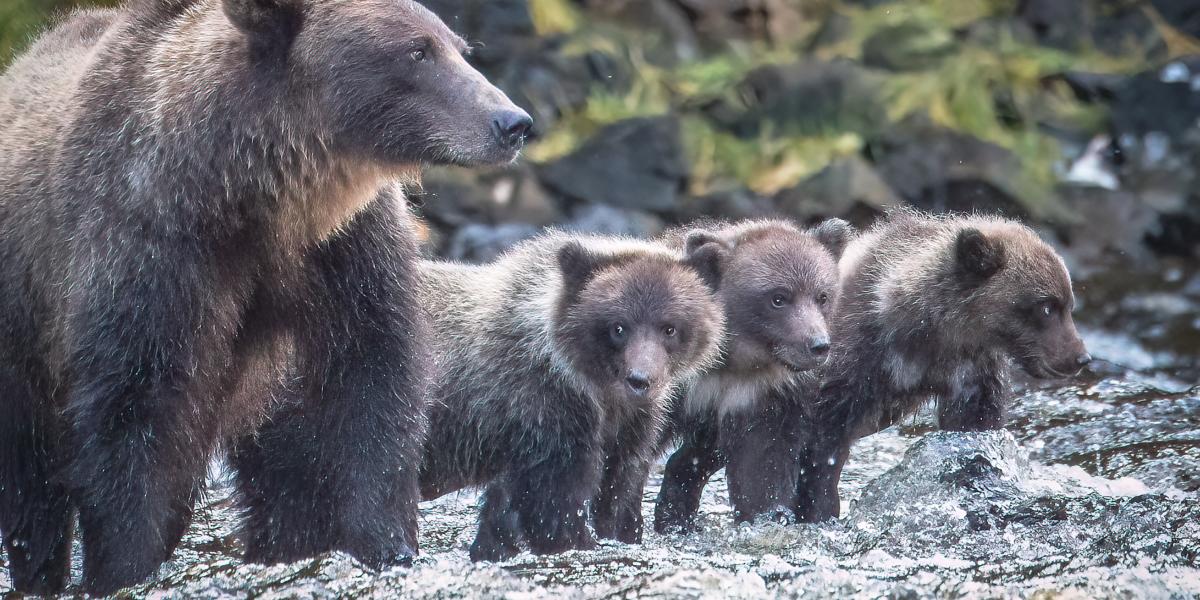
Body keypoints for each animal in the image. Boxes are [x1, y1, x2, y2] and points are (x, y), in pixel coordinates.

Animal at [0, 0, 530, 592]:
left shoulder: (344, 252)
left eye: (458, 48)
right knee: (31, 480)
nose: (512, 122)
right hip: (21, 330)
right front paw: (125, 568)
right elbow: (134, 409)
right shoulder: (152, 245)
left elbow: (371, 387)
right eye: (417, 51)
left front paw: (385, 545)